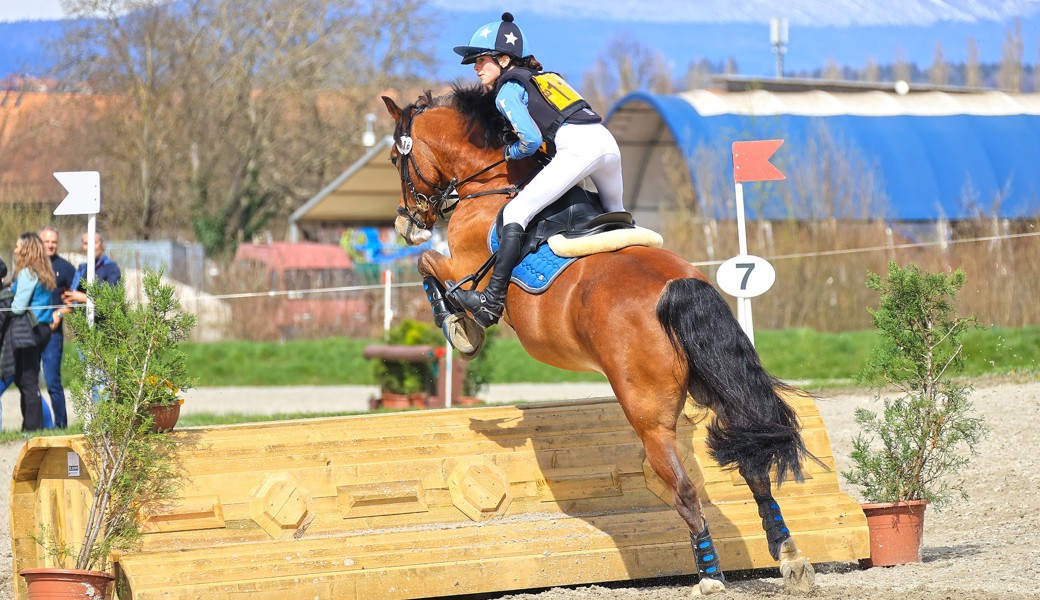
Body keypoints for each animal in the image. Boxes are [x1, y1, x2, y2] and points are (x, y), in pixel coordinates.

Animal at [382, 85, 819, 594]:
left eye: (395, 158)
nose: (406, 224)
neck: (492, 181)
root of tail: (677, 287)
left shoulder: (464, 266)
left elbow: (430, 268)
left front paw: (463, 327)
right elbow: (429, 267)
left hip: (647, 414)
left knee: (684, 489)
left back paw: (710, 577)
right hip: (717, 384)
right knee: (753, 467)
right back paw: (790, 558)